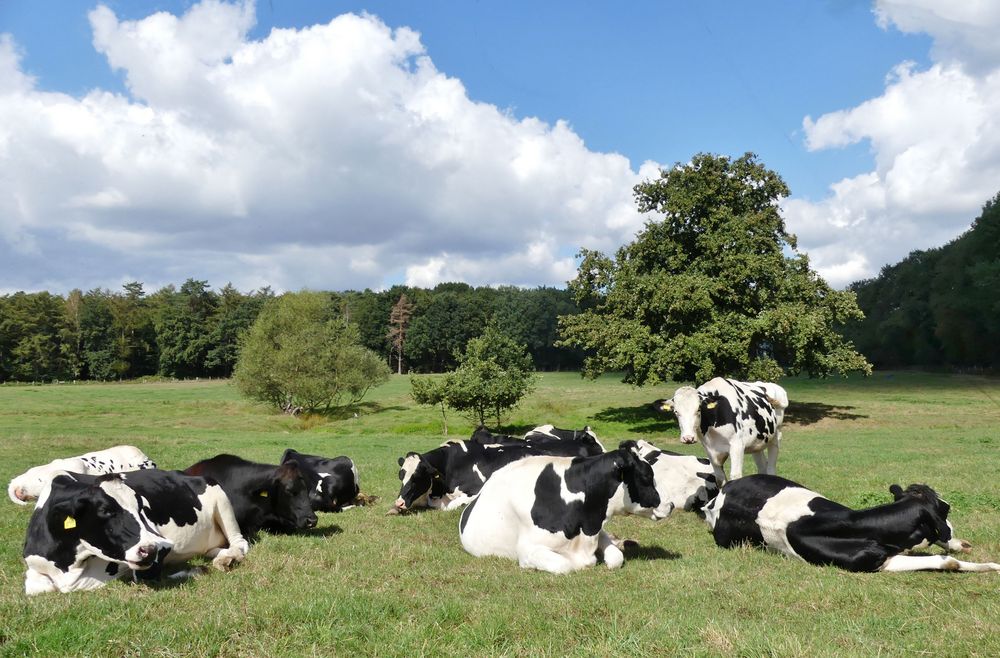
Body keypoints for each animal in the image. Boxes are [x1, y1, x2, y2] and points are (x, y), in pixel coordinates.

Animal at [23, 466, 250, 596]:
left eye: (141, 507)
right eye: (105, 511)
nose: (151, 549)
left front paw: (193, 570)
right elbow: (36, 587)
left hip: (222, 502)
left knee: (239, 543)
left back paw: (227, 559)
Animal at [458, 440, 676, 576]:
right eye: (647, 476)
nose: (672, 504)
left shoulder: (596, 528)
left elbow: (616, 557)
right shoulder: (528, 550)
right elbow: (565, 564)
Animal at [708, 472, 996, 576]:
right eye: (946, 509)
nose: (953, 528)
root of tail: (726, 488)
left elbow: (946, 557)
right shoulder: (870, 562)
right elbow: (945, 561)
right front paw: (993, 566)